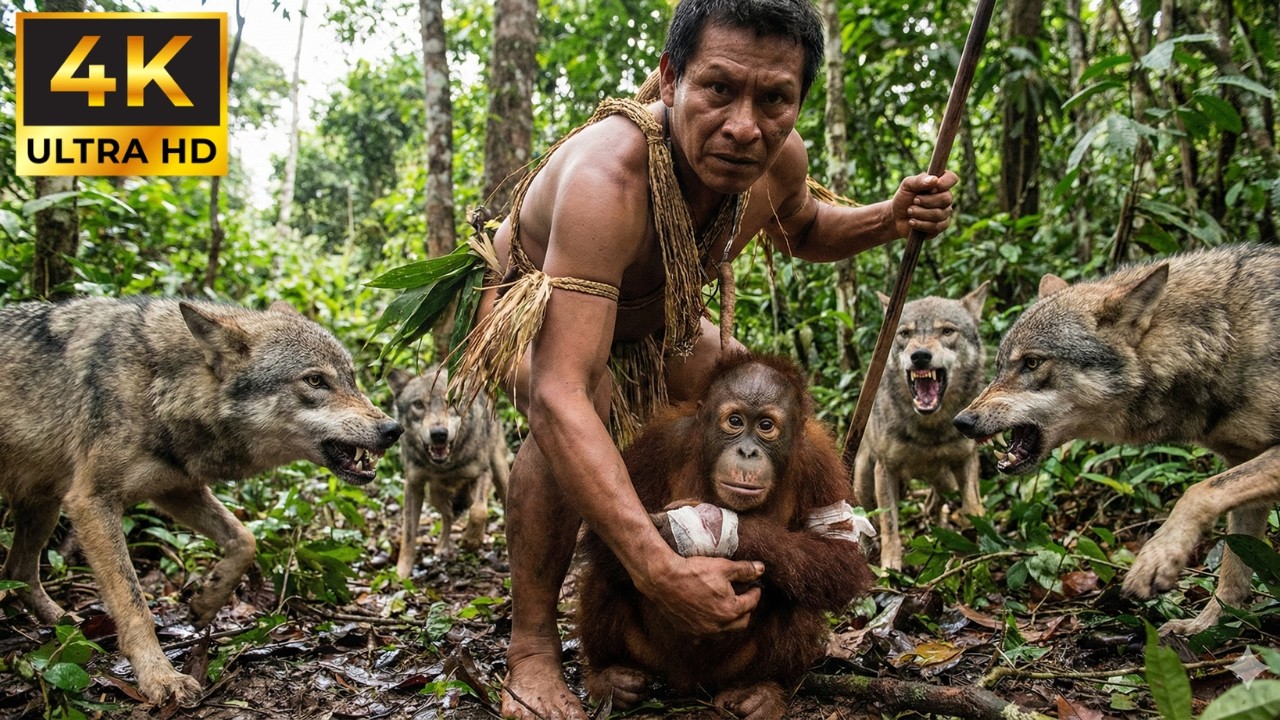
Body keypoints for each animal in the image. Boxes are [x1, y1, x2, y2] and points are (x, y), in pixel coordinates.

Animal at [0, 297, 402, 704]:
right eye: (316, 380)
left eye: (352, 378)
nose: (393, 429)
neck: (158, 384)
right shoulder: (92, 502)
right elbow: (134, 604)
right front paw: (160, 677)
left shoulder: (177, 489)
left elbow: (245, 539)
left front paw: (207, 602)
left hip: (43, 509)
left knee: (16, 571)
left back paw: (69, 626)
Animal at [387, 366, 509, 577]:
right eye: (418, 404)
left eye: (453, 401)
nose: (438, 434)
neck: (446, 466)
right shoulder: (413, 485)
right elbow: (409, 533)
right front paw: (401, 573)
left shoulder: (483, 473)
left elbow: (479, 511)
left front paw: (472, 540)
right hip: (435, 496)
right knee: (448, 517)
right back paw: (442, 548)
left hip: (500, 471)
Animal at [575, 352, 875, 720]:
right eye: (735, 421)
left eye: (765, 426)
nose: (747, 452)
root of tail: (688, 683)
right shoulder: (660, 442)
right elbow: (609, 533)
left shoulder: (820, 462)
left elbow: (839, 558)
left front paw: (716, 528)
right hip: (651, 657)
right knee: (608, 573)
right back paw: (611, 678)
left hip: (732, 668)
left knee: (800, 592)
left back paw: (760, 691)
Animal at [854, 282, 989, 570]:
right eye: (905, 334)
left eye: (947, 331)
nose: (920, 356)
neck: (930, 431)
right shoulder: (886, 469)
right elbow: (890, 524)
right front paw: (890, 567)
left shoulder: (966, 458)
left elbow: (972, 504)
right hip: (863, 481)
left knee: (939, 493)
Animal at [953, 244, 1280, 636]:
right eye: (1000, 366)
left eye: (1031, 363)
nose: (961, 421)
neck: (1218, 337)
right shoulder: (1242, 464)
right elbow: (1233, 572)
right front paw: (1206, 626)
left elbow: (1198, 491)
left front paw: (1157, 559)